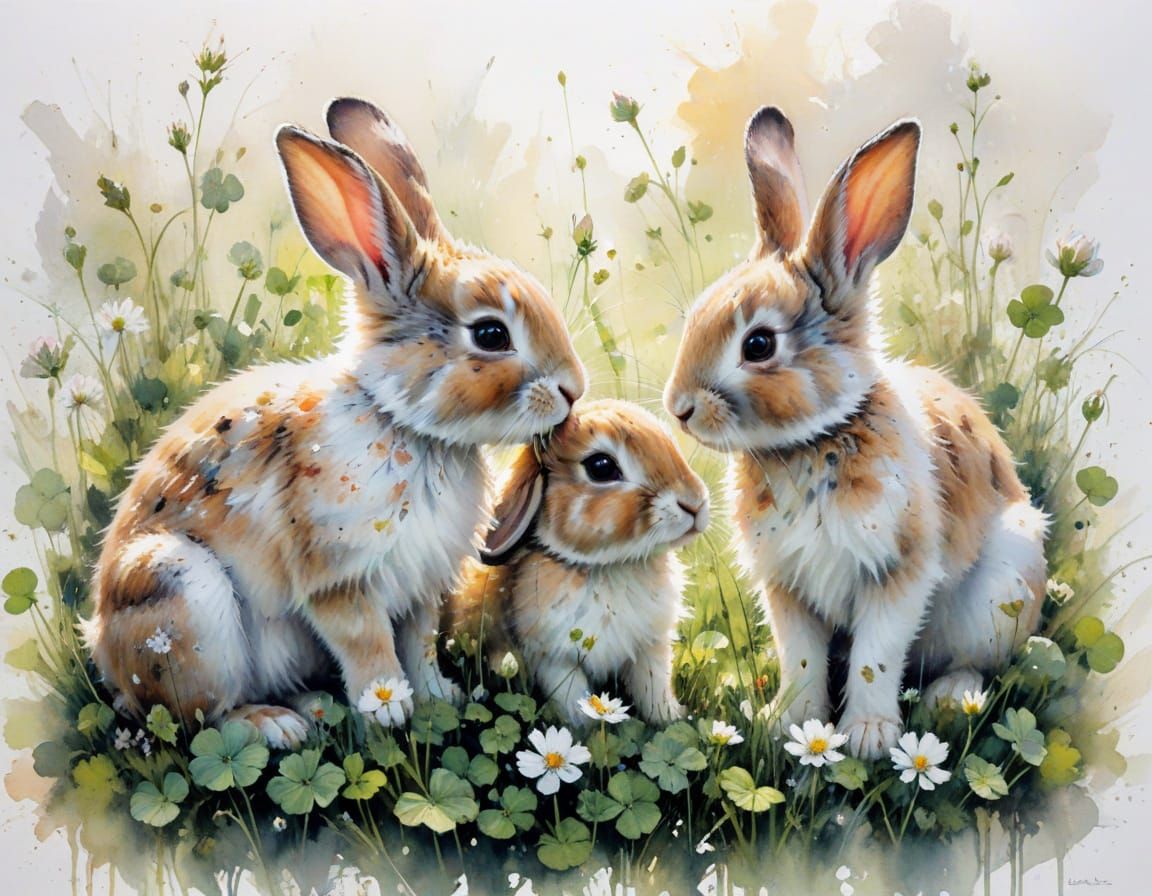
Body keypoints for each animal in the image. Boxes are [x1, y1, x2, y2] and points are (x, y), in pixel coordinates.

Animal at [83, 98, 586, 747]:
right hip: (180, 596)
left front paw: (437, 697)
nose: (575, 389)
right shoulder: (338, 578)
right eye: (492, 334)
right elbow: (367, 644)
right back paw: (274, 723)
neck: (404, 422)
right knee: (196, 716)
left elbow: (418, 643)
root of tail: (103, 651)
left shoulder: (421, 587)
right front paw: (389, 710)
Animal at [444, 399, 710, 726]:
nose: (695, 503)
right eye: (601, 467)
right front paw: (584, 731)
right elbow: (576, 702)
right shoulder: (556, 659)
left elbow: (653, 690)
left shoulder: (650, 648)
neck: (610, 567)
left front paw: (670, 720)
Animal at [663, 106, 1047, 758]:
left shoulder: (898, 570)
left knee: (976, 664)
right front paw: (787, 723)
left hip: (1001, 594)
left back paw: (951, 699)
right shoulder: (787, 584)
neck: (813, 441)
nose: (679, 408)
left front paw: (867, 737)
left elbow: (878, 656)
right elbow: (802, 661)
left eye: (758, 345)